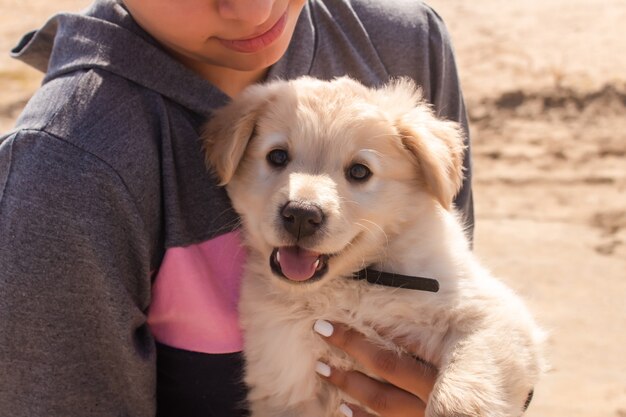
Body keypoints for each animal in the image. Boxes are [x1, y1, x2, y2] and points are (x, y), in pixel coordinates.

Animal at [204, 75, 540, 416]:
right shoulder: (285, 380)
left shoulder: (496, 314)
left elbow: (464, 384)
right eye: (277, 156)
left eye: (359, 171)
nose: (301, 215)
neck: (353, 285)